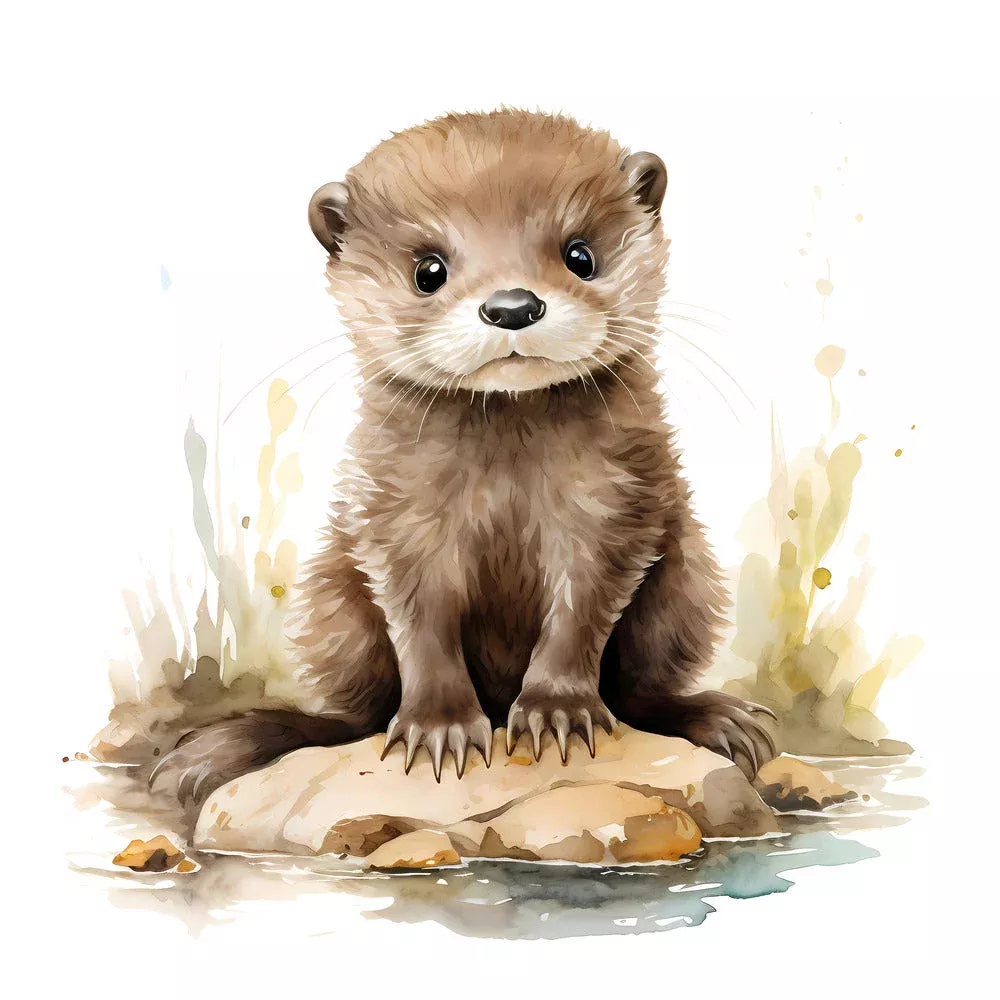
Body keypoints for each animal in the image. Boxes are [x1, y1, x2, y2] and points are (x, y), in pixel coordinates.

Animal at [151, 109, 775, 805]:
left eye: (580, 255)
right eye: (429, 269)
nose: (513, 306)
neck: (508, 481)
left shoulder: (616, 506)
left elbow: (580, 613)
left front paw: (557, 712)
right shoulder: (395, 519)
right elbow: (421, 624)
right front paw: (440, 727)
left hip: (686, 588)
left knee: (642, 690)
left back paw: (719, 719)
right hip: (333, 603)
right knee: (352, 716)